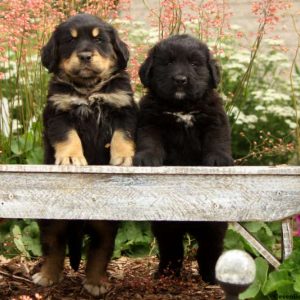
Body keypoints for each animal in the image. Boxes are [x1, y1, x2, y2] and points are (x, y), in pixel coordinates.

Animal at [32, 13, 137, 296]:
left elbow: (122, 136)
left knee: (100, 251)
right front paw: (71, 158)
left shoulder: (123, 108)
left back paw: (96, 282)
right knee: (54, 248)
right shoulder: (59, 112)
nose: (86, 56)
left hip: (105, 224)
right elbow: (69, 137)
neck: (89, 89)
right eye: (70, 41)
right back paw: (47, 275)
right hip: (53, 222)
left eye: (99, 39)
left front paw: (123, 159)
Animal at [135, 35, 233, 284]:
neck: (182, 106)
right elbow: (150, 142)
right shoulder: (150, 122)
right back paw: (166, 274)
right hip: (166, 225)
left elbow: (217, 142)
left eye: (195, 64)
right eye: (168, 62)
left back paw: (211, 276)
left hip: (213, 225)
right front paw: (147, 159)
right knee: (172, 249)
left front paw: (218, 160)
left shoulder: (214, 120)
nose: (180, 80)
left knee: (209, 249)